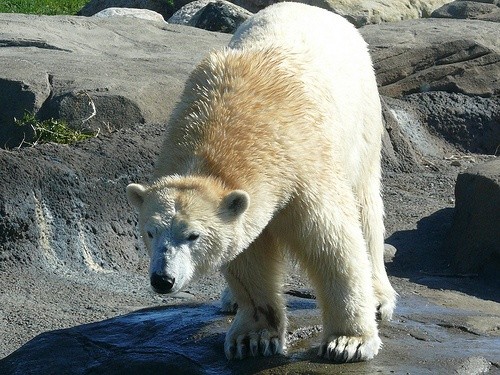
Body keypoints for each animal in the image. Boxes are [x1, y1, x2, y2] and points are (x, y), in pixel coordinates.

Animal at [127, 0, 396, 364]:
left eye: (193, 235)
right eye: (150, 232)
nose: (162, 279)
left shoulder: (304, 163)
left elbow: (331, 240)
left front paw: (348, 342)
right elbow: (247, 253)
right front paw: (252, 338)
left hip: (361, 118)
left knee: (366, 206)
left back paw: (379, 297)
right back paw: (229, 299)